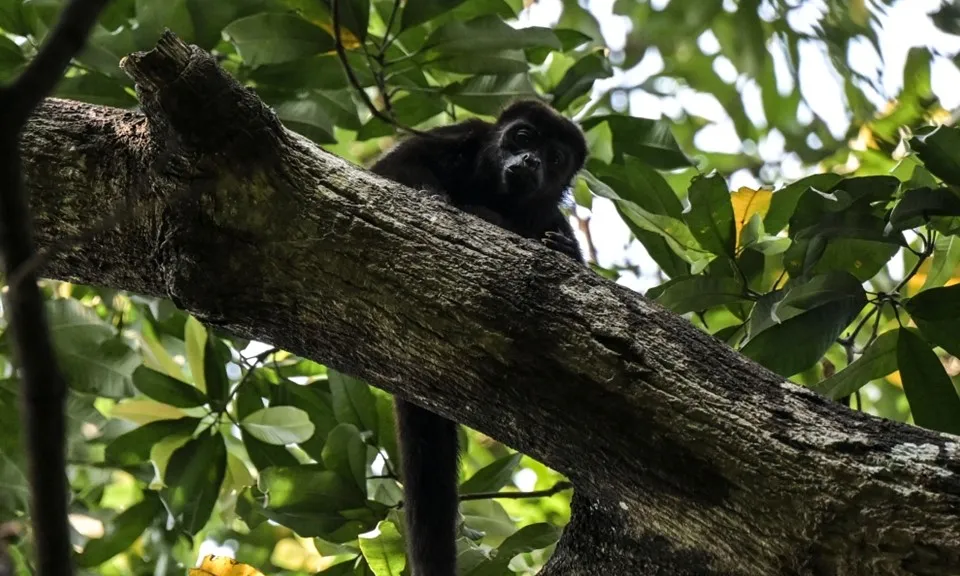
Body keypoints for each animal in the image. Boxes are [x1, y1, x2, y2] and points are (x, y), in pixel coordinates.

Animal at [368, 101, 588, 572]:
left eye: (555, 158)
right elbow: (389, 169)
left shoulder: (552, 219)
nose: (531, 161)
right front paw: (432, 196)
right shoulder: (459, 135)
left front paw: (556, 250)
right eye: (523, 137)